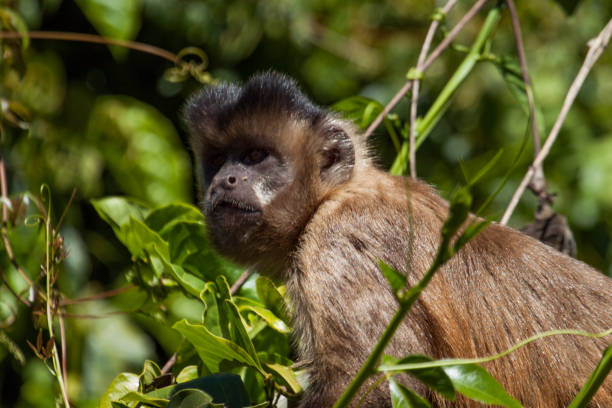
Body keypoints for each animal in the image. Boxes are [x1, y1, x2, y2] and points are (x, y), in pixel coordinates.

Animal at [185, 71, 612, 406]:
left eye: (255, 156)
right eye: (218, 162)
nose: (225, 180)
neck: (339, 194)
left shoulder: (340, 239)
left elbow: (376, 384)